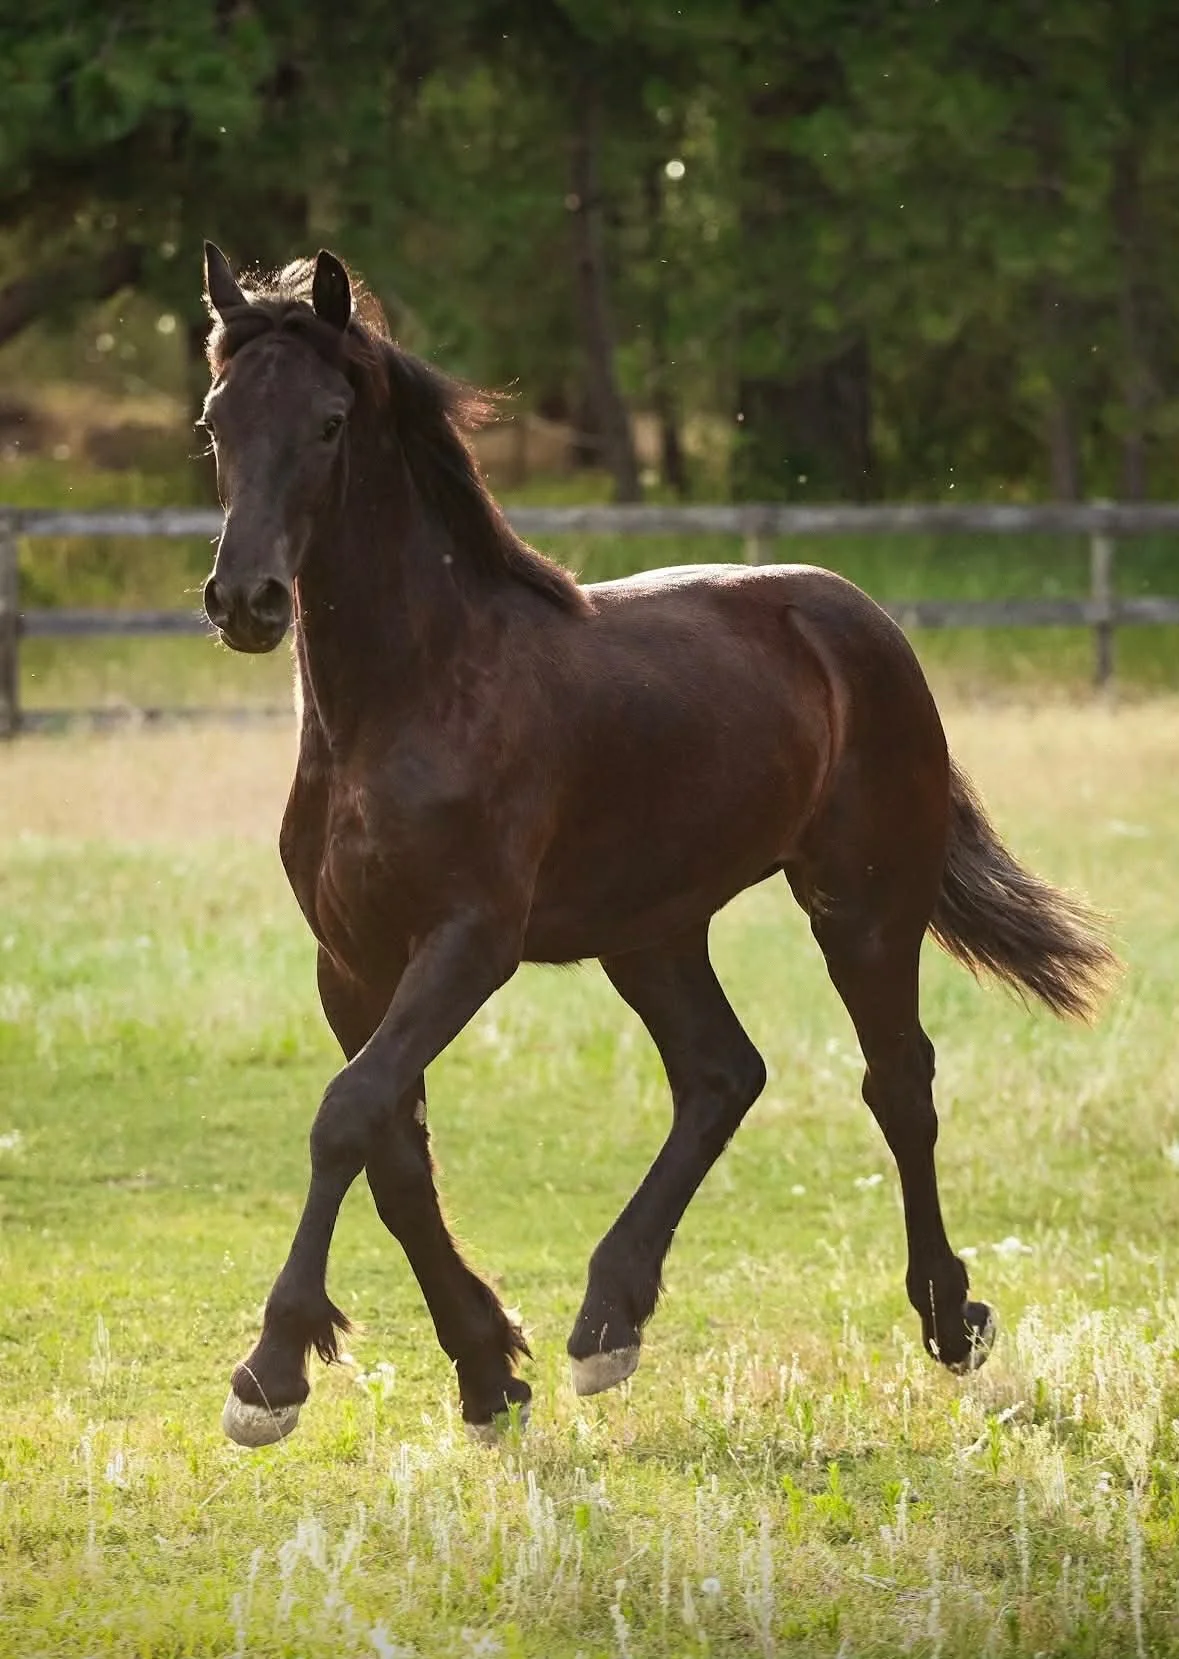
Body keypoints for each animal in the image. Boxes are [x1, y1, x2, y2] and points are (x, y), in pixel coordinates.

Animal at [199, 243, 1114, 1447]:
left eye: (330, 421)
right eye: (215, 419)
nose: (246, 599)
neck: (413, 697)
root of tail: (861, 621)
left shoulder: (469, 942)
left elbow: (346, 1113)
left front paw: (271, 1370)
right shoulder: (351, 959)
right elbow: (391, 1146)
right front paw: (488, 1372)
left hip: (863, 904)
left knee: (897, 1082)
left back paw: (948, 1319)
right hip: (653, 931)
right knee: (722, 1073)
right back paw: (606, 1324)